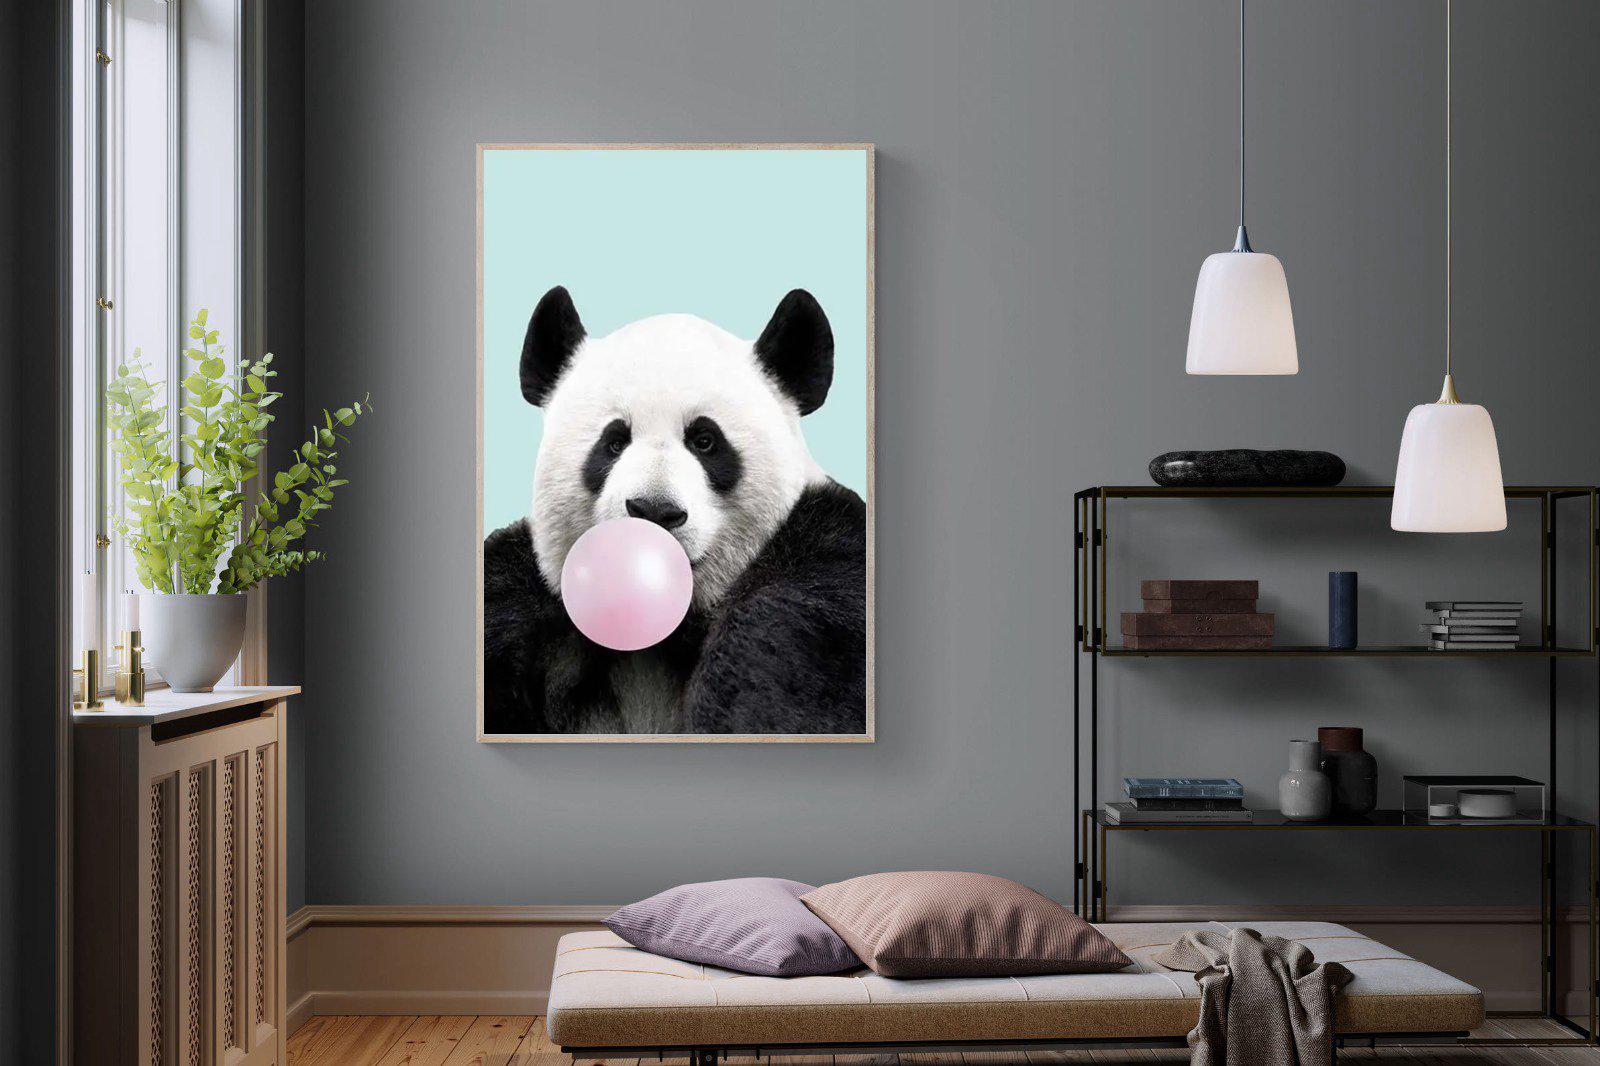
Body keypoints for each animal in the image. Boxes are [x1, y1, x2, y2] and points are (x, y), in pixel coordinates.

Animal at [483, 286, 867, 735]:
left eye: (705, 441)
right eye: (614, 442)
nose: (654, 511)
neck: (663, 634)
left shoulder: (827, 568)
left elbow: (784, 652)